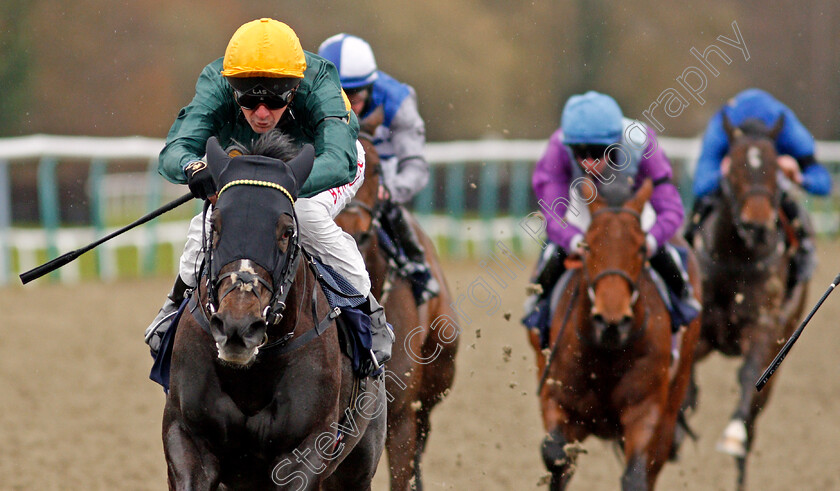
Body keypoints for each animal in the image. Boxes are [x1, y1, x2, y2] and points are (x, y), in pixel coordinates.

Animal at [162, 135, 388, 491]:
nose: (237, 327)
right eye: (215, 226)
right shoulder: (186, 436)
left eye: (286, 232)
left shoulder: (305, 449)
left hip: (359, 461)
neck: (252, 372)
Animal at [532, 179, 704, 490]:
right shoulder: (556, 397)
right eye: (587, 247)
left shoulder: (645, 408)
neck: (606, 353)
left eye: (640, 248)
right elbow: (555, 454)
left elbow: (636, 476)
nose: (611, 321)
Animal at [688, 116, 808, 491]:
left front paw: (731, 437)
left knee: (754, 414)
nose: (756, 225)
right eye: (736, 167)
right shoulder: (702, 328)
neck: (737, 258)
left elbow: (747, 374)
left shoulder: (763, 327)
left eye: (774, 169)